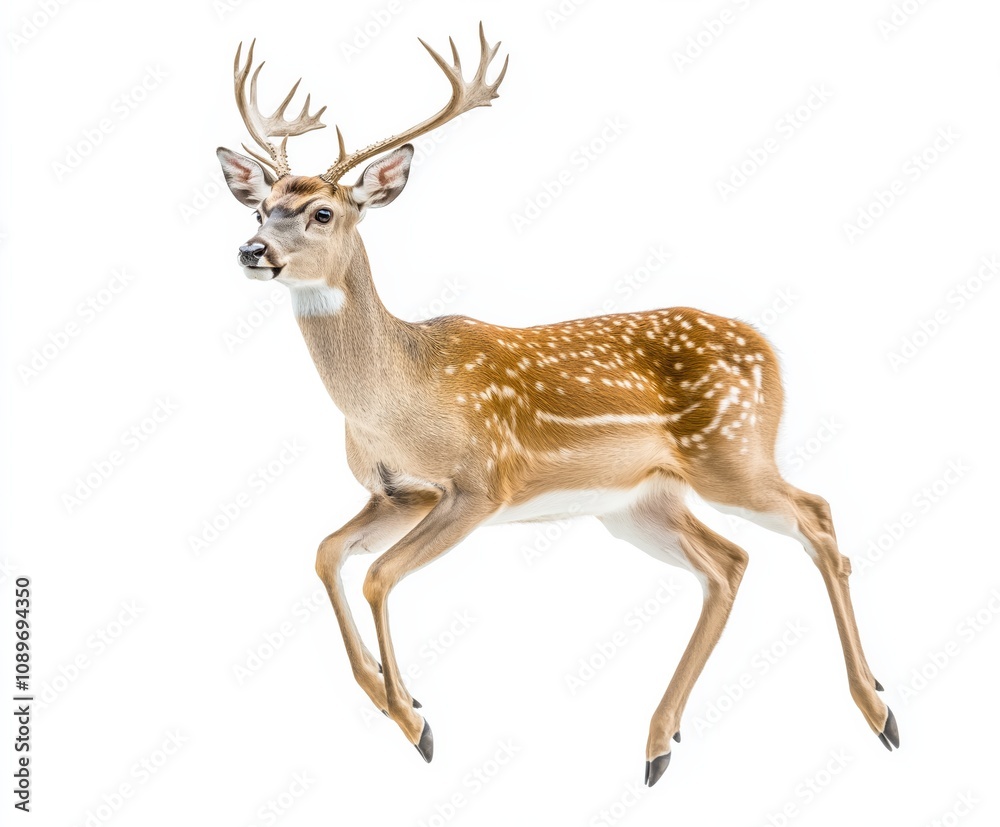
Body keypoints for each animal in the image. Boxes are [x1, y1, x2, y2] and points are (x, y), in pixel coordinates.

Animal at [216, 24, 898, 787]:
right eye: (258, 206)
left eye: (322, 211)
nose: (252, 249)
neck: (395, 398)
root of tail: (771, 350)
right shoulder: (397, 492)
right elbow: (327, 553)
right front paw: (398, 698)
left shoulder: (480, 484)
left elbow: (377, 574)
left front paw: (416, 721)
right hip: (640, 502)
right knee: (728, 561)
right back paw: (660, 742)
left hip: (732, 452)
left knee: (816, 515)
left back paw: (879, 711)